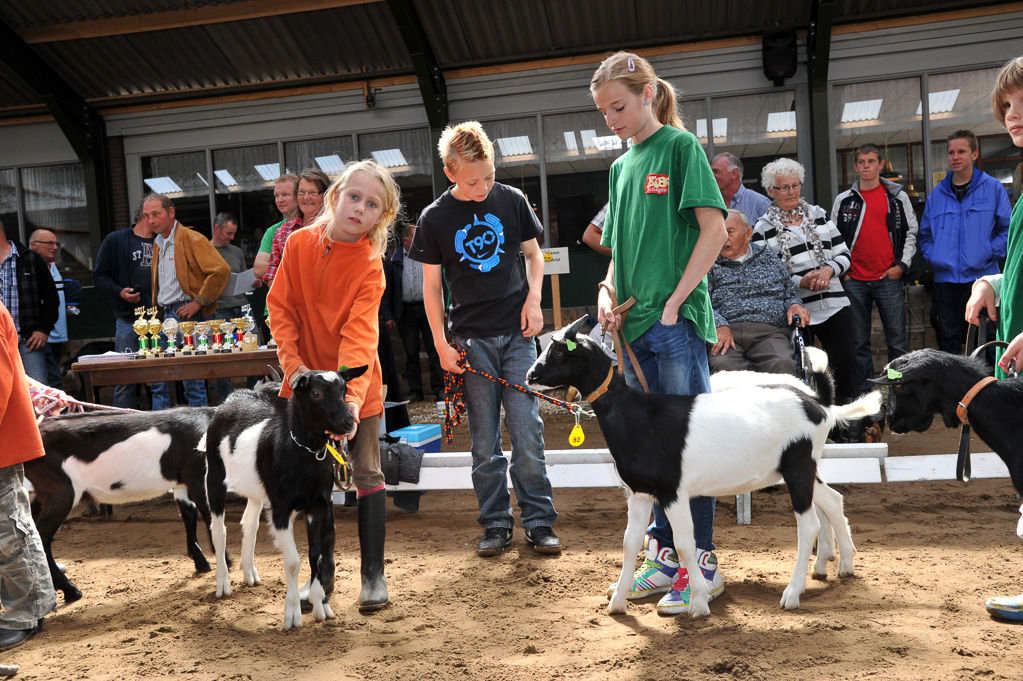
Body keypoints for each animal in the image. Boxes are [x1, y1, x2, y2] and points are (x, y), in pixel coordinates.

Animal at [27, 402, 215, 601]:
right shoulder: (197, 476)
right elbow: (209, 514)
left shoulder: (181, 482)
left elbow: (189, 515)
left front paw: (201, 562)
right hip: (62, 491)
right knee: (42, 535)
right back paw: (70, 590)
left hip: (45, 493)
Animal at [199, 368, 364, 629]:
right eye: (315, 393)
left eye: (344, 390)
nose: (349, 422)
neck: (302, 454)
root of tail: (232, 398)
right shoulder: (281, 510)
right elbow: (293, 561)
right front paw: (292, 615)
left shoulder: (318, 505)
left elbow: (315, 555)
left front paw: (320, 606)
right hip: (214, 475)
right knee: (218, 529)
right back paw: (223, 583)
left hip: (255, 488)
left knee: (250, 522)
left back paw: (249, 572)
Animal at [527, 319, 879, 613]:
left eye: (561, 352)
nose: (531, 376)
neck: (638, 415)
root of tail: (818, 403)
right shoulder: (640, 493)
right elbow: (629, 543)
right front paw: (617, 603)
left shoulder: (672, 492)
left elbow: (685, 545)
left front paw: (697, 602)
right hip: (803, 468)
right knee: (832, 499)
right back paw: (843, 564)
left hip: (798, 467)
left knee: (809, 526)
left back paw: (793, 594)